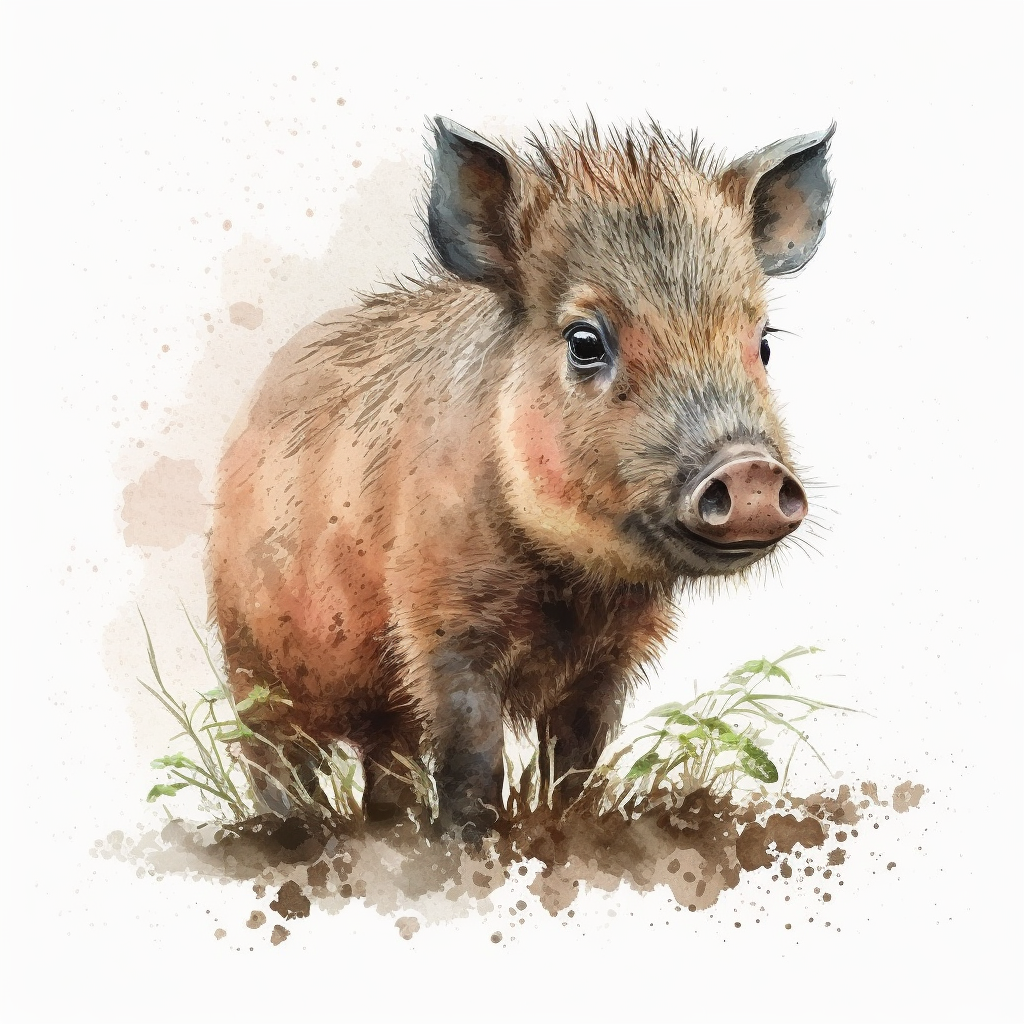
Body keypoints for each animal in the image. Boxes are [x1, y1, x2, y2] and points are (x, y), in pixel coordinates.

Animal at [209, 115, 834, 841]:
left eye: (763, 342)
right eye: (585, 341)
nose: (750, 469)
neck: (574, 590)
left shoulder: (613, 658)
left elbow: (577, 757)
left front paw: (564, 828)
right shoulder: (441, 624)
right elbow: (473, 757)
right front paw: (470, 844)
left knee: (386, 762)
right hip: (250, 660)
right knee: (272, 754)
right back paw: (292, 833)